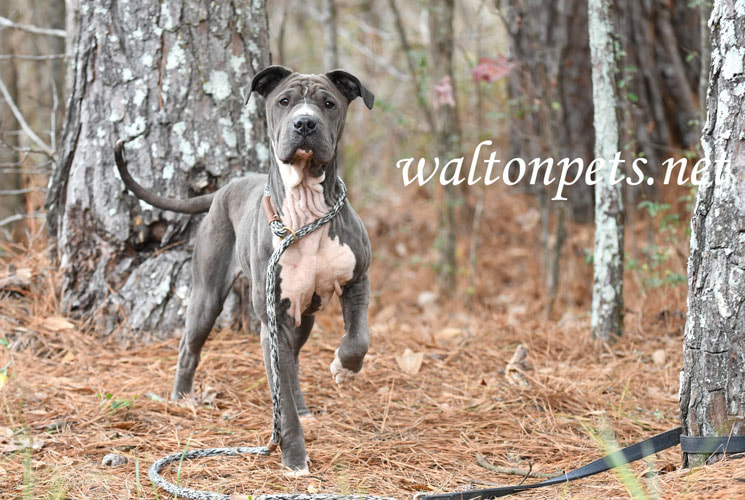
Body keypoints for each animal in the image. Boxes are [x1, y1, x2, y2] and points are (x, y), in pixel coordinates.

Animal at [114, 64, 374, 474]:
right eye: (284, 101)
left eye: (329, 103)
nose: (304, 123)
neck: (305, 210)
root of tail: (223, 189)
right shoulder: (273, 320)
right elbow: (283, 404)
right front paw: (294, 458)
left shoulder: (357, 280)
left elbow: (358, 338)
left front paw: (344, 368)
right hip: (207, 295)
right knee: (191, 347)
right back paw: (181, 397)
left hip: (302, 316)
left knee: (292, 365)